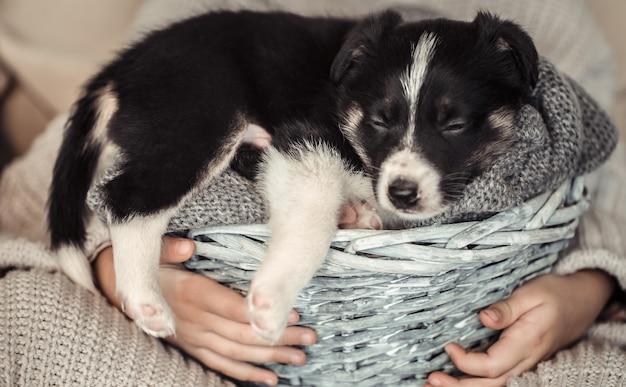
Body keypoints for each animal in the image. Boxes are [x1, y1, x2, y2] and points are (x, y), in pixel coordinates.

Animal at [48, 9, 536, 344]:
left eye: (455, 124)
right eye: (380, 121)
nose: (401, 193)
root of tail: (121, 68)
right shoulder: (304, 142)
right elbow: (310, 221)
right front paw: (272, 298)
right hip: (198, 118)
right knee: (124, 199)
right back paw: (146, 301)